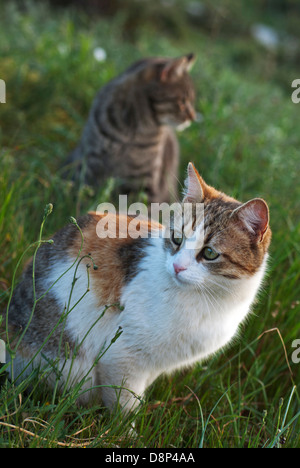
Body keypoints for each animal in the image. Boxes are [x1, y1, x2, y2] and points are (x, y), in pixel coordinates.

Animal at [5, 163, 272, 412]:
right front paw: (124, 427)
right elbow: (124, 404)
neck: (207, 301)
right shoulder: (122, 357)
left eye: (209, 253)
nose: (177, 267)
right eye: (176, 239)